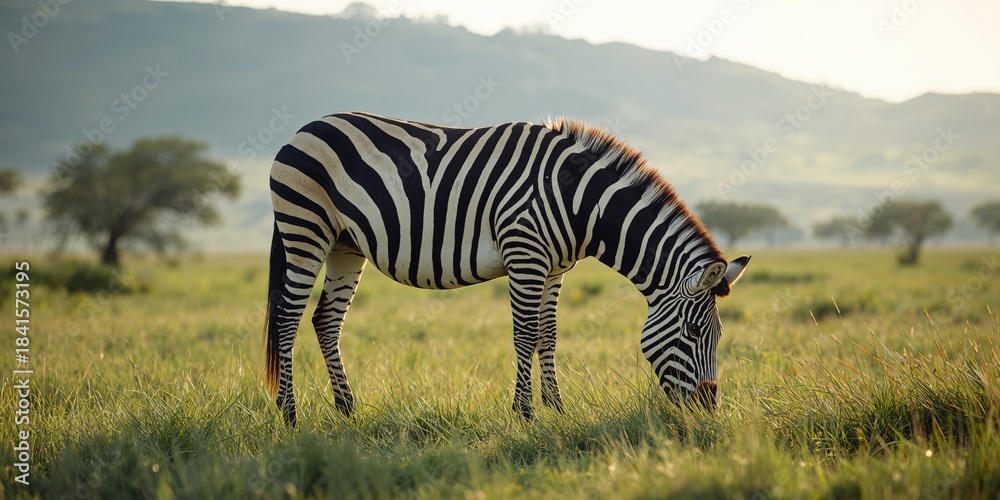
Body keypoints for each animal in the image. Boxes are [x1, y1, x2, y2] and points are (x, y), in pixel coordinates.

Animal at [264, 112, 750, 426]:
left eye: (720, 334)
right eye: (693, 333)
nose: (708, 411)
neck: (579, 201)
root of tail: (304, 129)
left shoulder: (555, 268)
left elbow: (548, 334)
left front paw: (556, 408)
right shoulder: (524, 252)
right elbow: (525, 334)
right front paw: (525, 413)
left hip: (345, 245)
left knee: (326, 319)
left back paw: (347, 409)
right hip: (305, 228)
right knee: (287, 318)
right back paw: (290, 415)